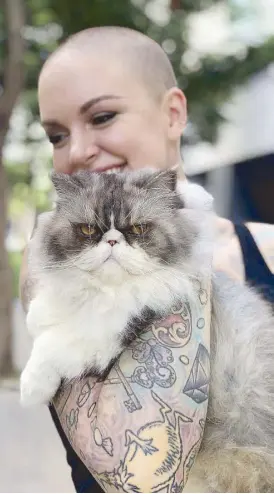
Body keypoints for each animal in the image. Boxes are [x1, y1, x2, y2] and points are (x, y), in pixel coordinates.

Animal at [21, 169, 274, 490]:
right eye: (89, 230)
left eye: (138, 228)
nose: (112, 240)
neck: (108, 295)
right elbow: (50, 313)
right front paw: (39, 314)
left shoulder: (115, 331)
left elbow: (52, 346)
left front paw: (30, 389)